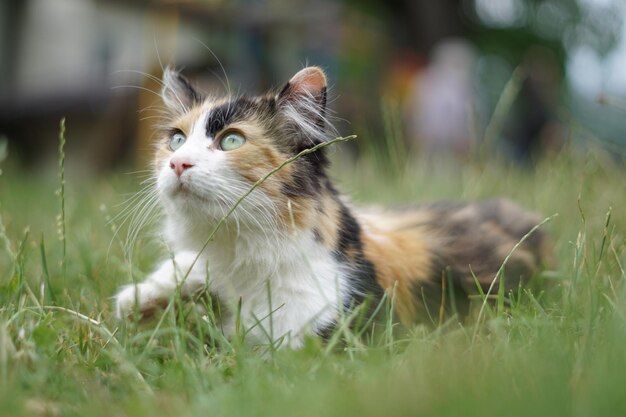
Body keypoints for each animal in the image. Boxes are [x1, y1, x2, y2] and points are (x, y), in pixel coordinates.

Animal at [114, 66, 548, 348]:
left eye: (231, 141)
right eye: (175, 140)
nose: (177, 163)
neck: (242, 252)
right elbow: (187, 266)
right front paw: (137, 300)